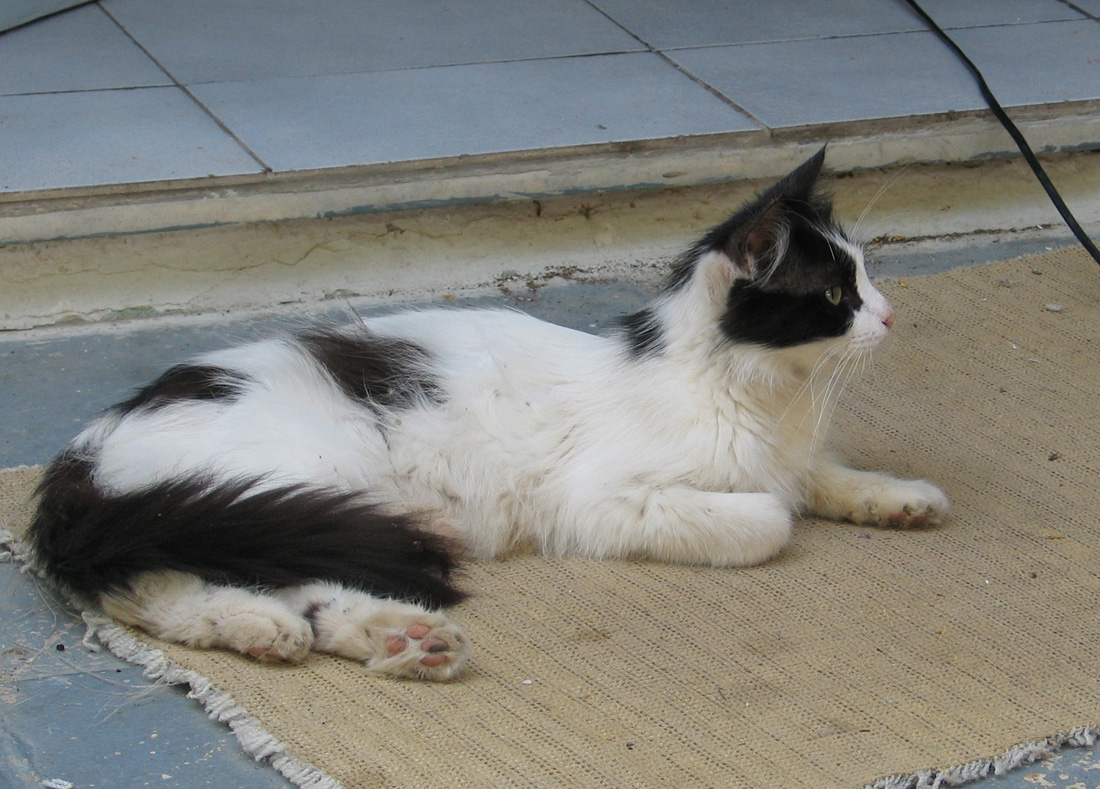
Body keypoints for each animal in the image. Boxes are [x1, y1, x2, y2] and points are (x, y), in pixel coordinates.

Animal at [27, 149, 948, 681]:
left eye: (867, 276)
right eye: (834, 296)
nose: (892, 314)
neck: (758, 392)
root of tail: (81, 453)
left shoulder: (789, 453)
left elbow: (821, 475)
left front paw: (901, 497)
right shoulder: (602, 499)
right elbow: (768, 517)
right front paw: (782, 511)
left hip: (286, 508)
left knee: (226, 585)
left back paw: (396, 639)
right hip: (294, 483)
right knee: (173, 582)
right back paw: (288, 626)